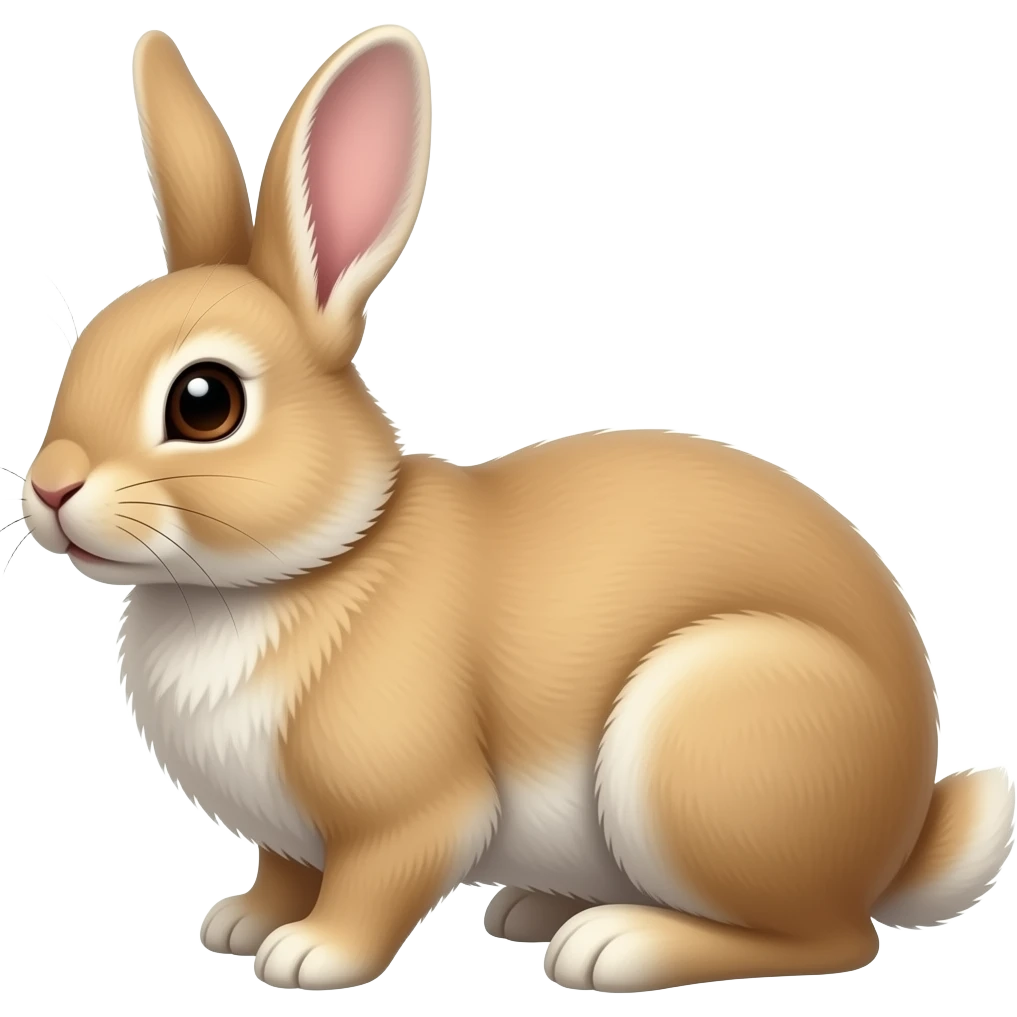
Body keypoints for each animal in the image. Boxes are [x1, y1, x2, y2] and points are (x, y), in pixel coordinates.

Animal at [19, 24, 1014, 994]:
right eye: (80, 353)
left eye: (204, 402)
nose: (51, 487)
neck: (305, 565)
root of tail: (899, 835)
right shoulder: (288, 837)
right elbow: (285, 869)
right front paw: (241, 923)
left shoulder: (411, 809)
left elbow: (376, 881)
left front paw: (310, 955)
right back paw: (536, 907)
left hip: (705, 736)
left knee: (829, 937)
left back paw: (615, 944)